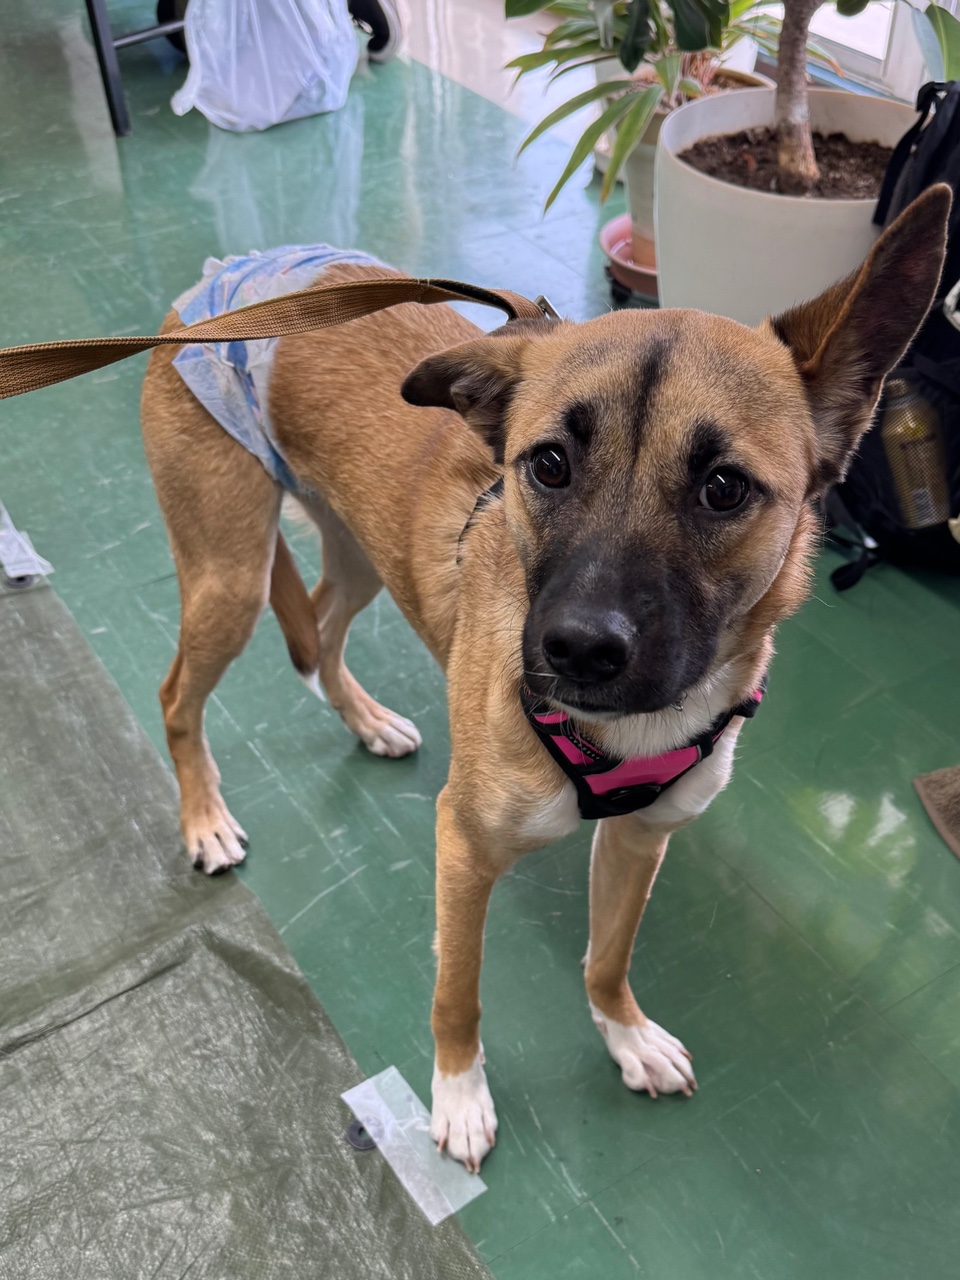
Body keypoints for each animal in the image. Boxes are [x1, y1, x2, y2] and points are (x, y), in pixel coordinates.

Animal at [140, 187, 949, 1171]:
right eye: (549, 464)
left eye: (724, 488)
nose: (577, 652)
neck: (627, 733)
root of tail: (220, 283)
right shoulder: (463, 849)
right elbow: (457, 991)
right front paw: (457, 1098)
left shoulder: (641, 841)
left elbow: (608, 957)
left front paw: (625, 1035)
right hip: (230, 575)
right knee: (177, 695)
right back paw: (205, 820)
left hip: (359, 552)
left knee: (322, 634)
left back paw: (367, 722)